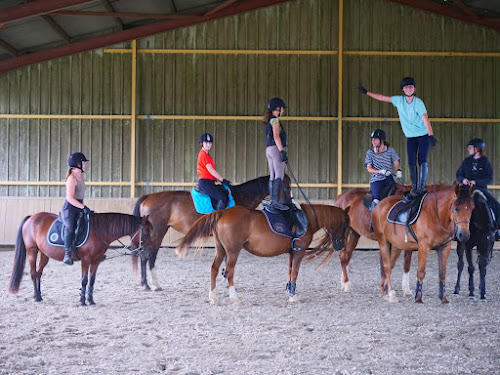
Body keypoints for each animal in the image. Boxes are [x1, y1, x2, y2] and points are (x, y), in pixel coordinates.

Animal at [6, 213, 152, 306]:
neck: (99, 231)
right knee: (32, 273)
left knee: (38, 273)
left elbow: (92, 281)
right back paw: (36, 297)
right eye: (145, 231)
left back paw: (40, 296)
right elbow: (84, 280)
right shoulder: (86, 260)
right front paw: (82, 301)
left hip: (44, 254)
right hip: (32, 251)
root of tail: (32, 217)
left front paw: (91, 300)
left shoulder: (96, 261)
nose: (148, 252)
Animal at [131, 175, 292, 292]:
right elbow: (227, 258)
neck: (240, 197)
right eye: (286, 185)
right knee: (146, 255)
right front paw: (226, 278)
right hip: (157, 232)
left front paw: (225, 277)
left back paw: (153, 284)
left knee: (150, 256)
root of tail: (148, 197)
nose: (289, 203)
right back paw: (147, 285)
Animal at [175, 204, 348, 306]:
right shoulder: (299, 251)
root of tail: (222, 212)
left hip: (221, 249)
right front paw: (293, 296)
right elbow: (295, 272)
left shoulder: (292, 252)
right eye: (345, 225)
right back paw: (235, 298)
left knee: (214, 269)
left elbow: (290, 271)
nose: (340, 246)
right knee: (229, 271)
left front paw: (289, 292)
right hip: (232, 251)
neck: (307, 219)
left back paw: (213, 297)